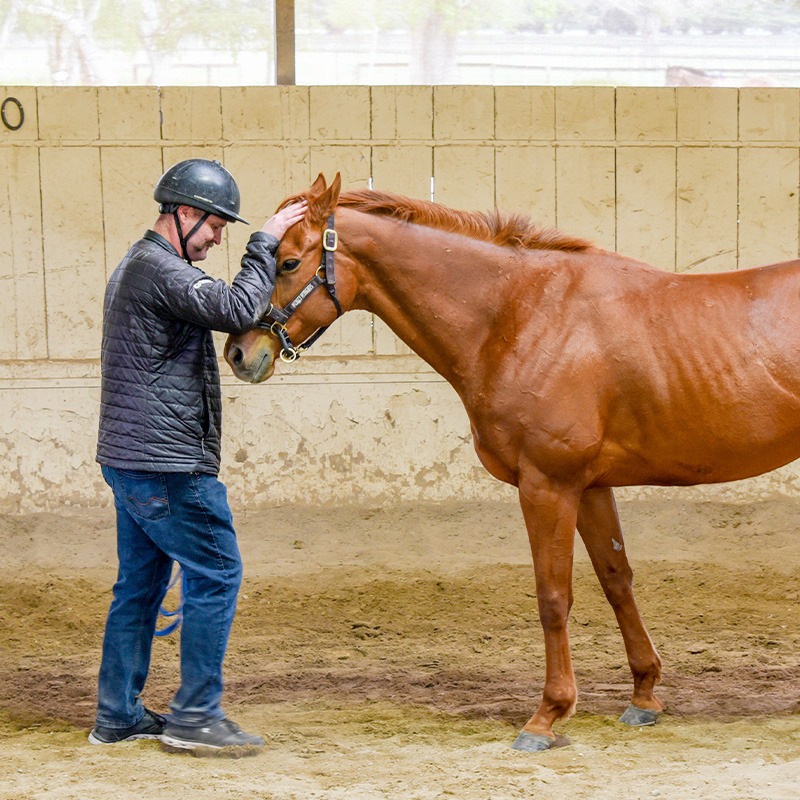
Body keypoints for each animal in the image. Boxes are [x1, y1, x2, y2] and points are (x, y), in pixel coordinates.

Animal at [223, 173, 800, 752]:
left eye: (289, 262)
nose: (239, 354)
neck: (523, 314)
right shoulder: (590, 487)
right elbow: (617, 579)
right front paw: (643, 695)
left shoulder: (547, 485)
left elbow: (553, 596)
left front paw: (548, 715)